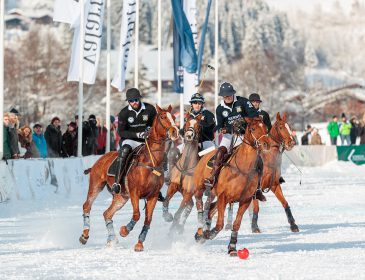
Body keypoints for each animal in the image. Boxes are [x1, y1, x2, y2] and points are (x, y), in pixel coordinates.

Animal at [79, 105, 178, 252]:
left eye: (174, 117)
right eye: (163, 117)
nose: (175, 131)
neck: (151, 161)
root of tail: (100, 159)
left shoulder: (153, 195)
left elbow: (148, 220)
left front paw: (139, 243)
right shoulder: (134, 192)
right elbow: (137, 215)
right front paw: (124, 230)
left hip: (121, 197)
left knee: (107, 214)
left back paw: (112, 239)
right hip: (96, 185)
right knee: (87, 205)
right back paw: (85, 235)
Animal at [191, 117, 268, 248]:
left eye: (266, 128)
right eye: (253, 128)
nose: (266, 144)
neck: (243, 168)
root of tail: (205, 155)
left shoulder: (245, 200)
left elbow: (236, 224)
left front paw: (232, 247)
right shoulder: (223, 196)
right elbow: (219, 224)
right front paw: (208, 234)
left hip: (214, 194)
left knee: (210, 209)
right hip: (200, 188)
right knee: (200, 206)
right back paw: (200, 232)